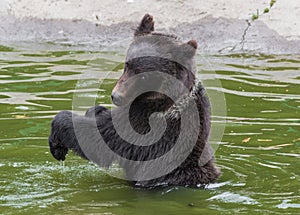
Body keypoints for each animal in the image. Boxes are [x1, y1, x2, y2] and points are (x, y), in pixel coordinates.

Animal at [48, 13, 219, 188]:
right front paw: (95, 110)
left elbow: (100, 138)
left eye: (143, 75)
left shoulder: (146, 123)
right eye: (126, 65)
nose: (116, 96)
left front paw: (58, 142)